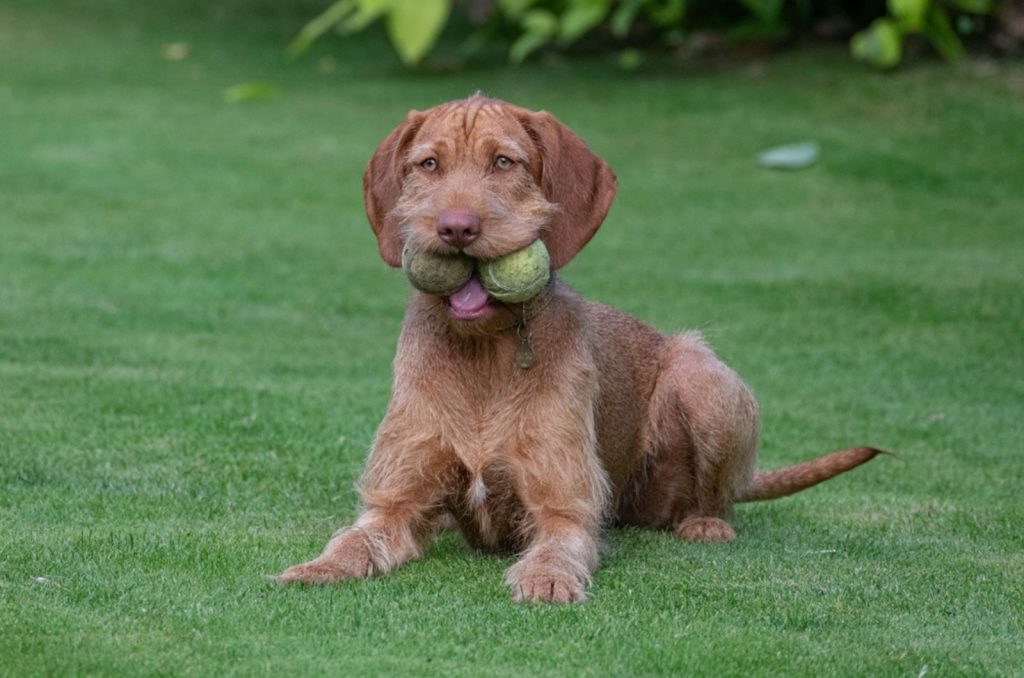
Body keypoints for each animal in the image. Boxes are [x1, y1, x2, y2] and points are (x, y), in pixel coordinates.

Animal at [278, 95, 880, 606]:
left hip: (703, 380)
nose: (456, 228)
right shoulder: (395, 501)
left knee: (716, 494)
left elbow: (557, 547)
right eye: (429, 164)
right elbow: (356, 539)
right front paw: (317, 567)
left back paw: (705, 522)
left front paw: (545, 579)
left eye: (504, 161)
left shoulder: (565, 509)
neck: (485, 350)